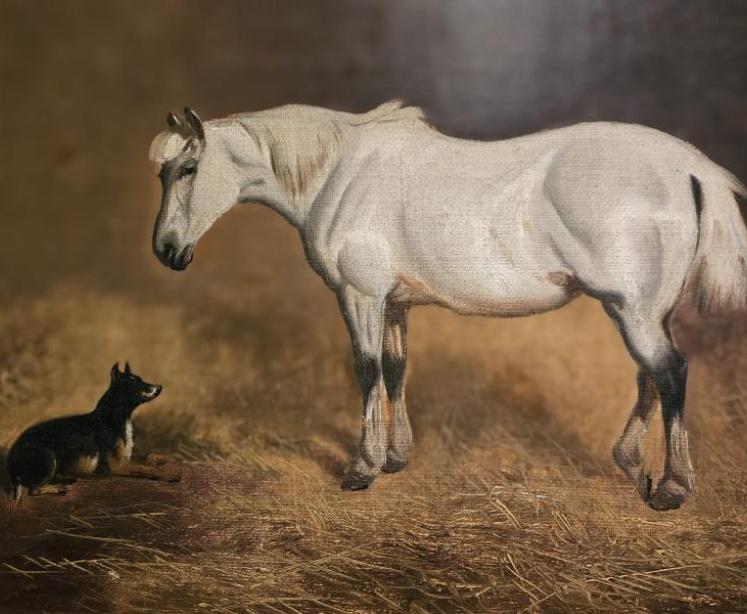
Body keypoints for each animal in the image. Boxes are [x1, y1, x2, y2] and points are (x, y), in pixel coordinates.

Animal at [149, 101, 747, 510]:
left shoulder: (360, 297)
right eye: (163, 172)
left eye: (187, 170)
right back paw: (632, 464)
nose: (165, 250)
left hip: (633, 310)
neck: (339, 174)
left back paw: (671, 487)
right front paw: (396, 457)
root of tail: (688, 166)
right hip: (645, 310)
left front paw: (362, 467)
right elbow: (395, 369)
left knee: (669, 372)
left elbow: (366, 371)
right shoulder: (393, 303)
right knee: (651, 376)